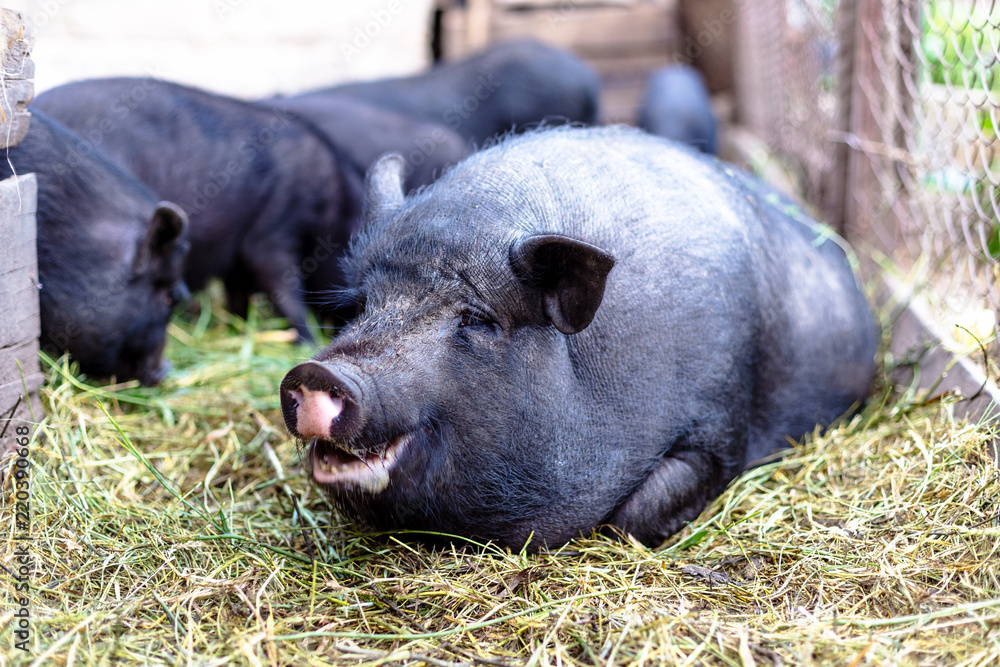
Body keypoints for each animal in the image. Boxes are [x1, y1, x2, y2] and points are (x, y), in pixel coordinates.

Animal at [33, 77, 366, 340]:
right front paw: (307, 341)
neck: (334, 203)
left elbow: (239, 290)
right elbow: (282, 286)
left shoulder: (237, 252)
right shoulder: (274, 227)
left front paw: (238, 327)